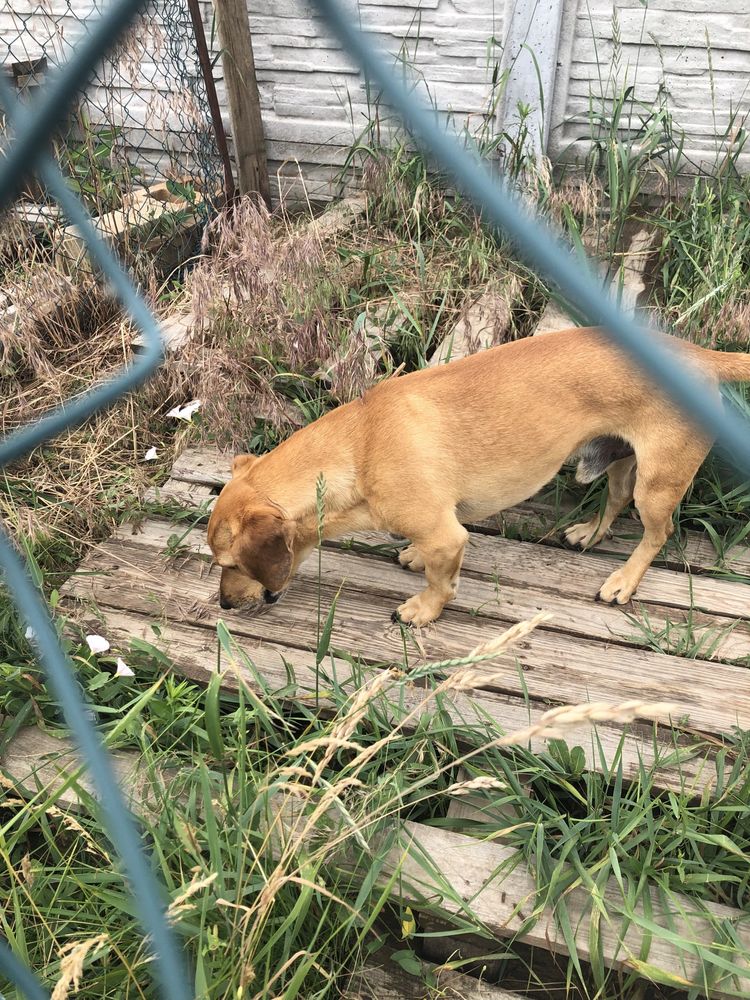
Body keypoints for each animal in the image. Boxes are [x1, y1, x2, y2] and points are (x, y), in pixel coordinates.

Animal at [206, 328, 750, 624]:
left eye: (231, 563)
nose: (224, 607)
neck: (359, 446)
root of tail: (700, 355)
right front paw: (411, 556)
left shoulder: (448, 538)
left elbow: (441, 583)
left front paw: (423, 610)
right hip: (618, 462)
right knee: (614, 504)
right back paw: (590, 533)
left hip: (656, 486)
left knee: (659, 534)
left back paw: (624, 580)